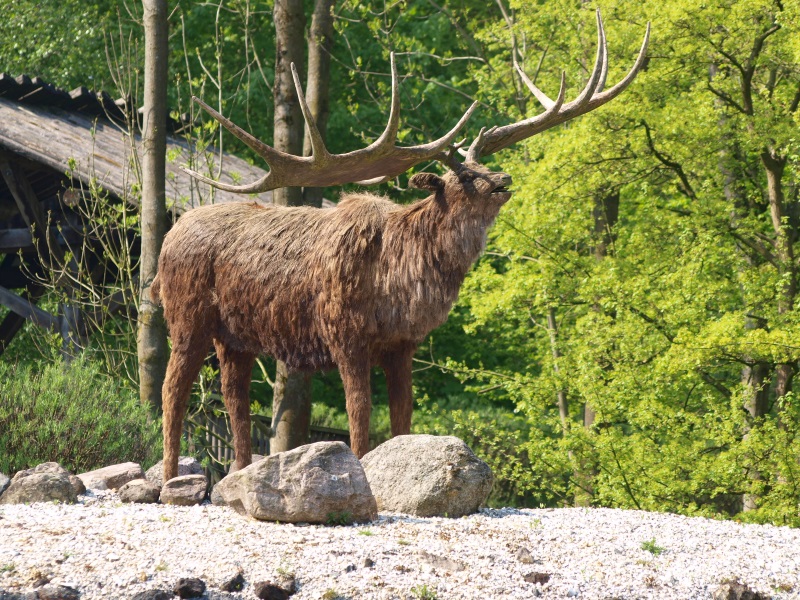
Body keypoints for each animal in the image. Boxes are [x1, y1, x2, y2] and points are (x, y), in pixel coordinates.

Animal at [154, 11, 650, 483]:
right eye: (463, 177)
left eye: (482, 165)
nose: (504, 179)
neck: (404, 277)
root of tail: (165, 244)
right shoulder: (344, 334)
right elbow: (359, 417)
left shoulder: (403, 344)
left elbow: (403, 417)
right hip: (187, 317)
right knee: (171, 389)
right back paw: (170, 479)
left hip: (235, 336)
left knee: (232, 396)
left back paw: (235, 473)